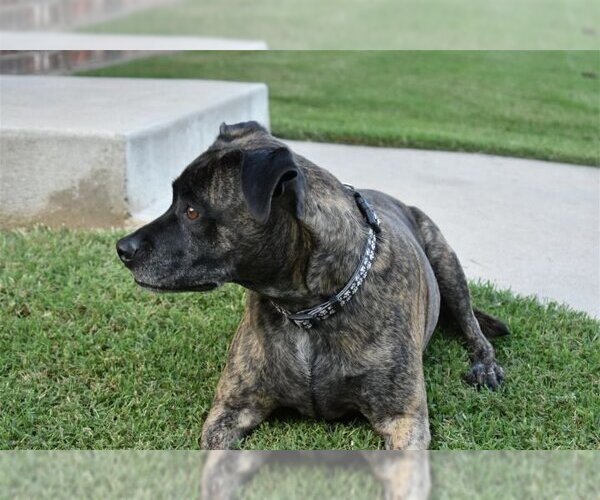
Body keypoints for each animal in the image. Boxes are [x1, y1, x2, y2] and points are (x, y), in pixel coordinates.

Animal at [116, 120, 506, 450]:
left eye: (193, 211)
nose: (123, 248)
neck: (309, 309)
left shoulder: (403, 419)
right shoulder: (230, 409)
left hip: (447, 265)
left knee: (474, 329)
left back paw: (485, 366)